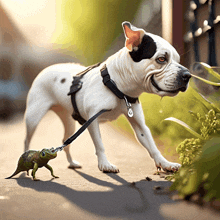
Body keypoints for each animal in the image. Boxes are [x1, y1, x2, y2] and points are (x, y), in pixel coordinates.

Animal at [24, 22, 191, 174]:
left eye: (178, 59)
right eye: (161, 59)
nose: (187, 75)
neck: (117, 87)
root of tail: (47, 68)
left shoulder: (140, 125)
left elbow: (151, 145)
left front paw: (165, 163)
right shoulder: (93, 120)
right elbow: (100, 145)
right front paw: (105, 165)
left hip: (68, 122)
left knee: (66, 142)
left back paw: (72, 163)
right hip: (33, 118)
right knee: (27, 140)